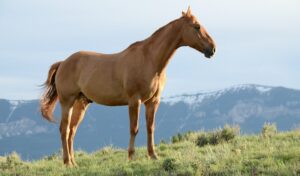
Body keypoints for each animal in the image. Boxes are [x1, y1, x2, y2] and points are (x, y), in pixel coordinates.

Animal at [40, 7, 216, 166]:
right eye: (197, 26)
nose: (213, 48)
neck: (150, 60)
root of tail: (63, 62)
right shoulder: (134, 101)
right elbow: (134, 128)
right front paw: (131, 157)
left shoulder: (153, 102)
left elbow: (150, 127)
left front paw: (153, 155)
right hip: (67, 102)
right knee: (64, 130)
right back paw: (67, 163)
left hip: (80, 103)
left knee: (71, 131)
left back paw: (74, 163)